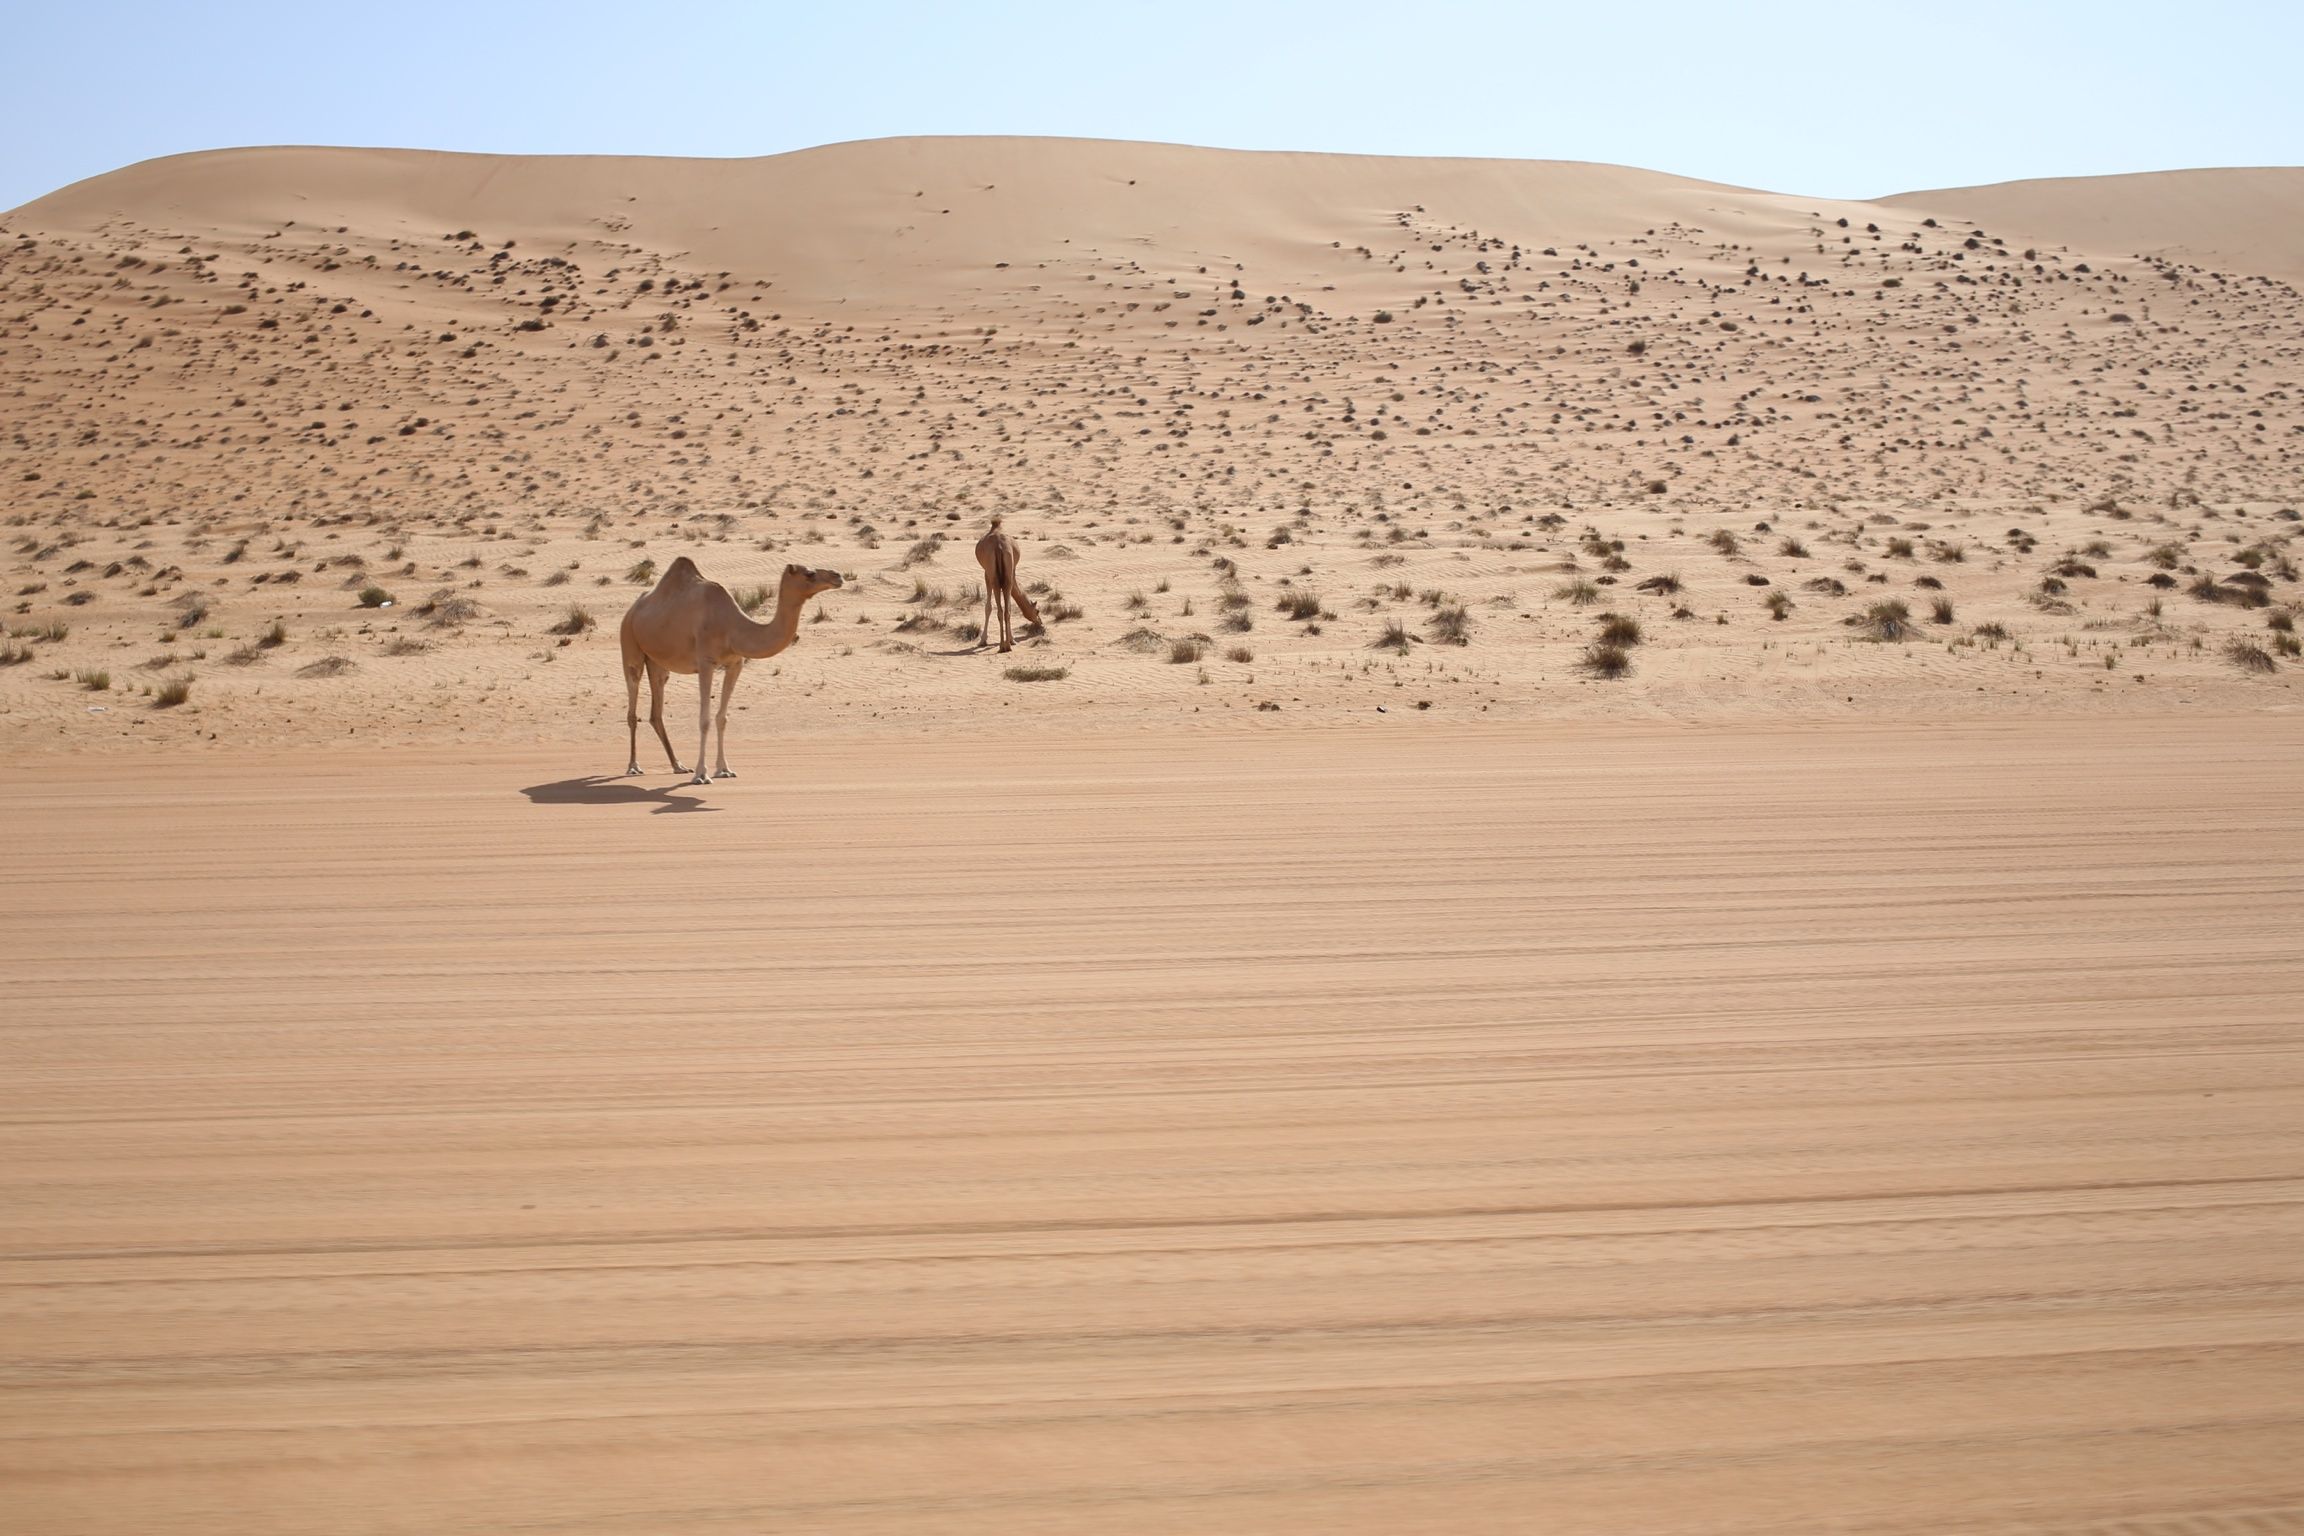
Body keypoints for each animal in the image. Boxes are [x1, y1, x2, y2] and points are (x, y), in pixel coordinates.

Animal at [622, 559, 847, 787]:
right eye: (809, 574)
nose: (837, 576)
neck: (731, 628)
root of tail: (632, 610)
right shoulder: (706, 663)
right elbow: (704, 720)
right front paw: (701, 774)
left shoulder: (735, 663)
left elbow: (722, 718)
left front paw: (724, 770)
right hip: (630, 644)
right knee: (633, 704)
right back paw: (633, 766)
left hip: (658, 662)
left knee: (656, 711)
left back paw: (678, 765)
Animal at [972, 515, 1046, 654]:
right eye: (1037, 611)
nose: (1041, 624)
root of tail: (999, 547)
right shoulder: (1010, 574)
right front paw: (1011, 640)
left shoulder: (988, 574)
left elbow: (989, 607)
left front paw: (983, 640)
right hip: (1004, 577)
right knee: (1005, 610)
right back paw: (1007, 645)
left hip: (994, 577)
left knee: (1000, 609)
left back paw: (1003, 646)